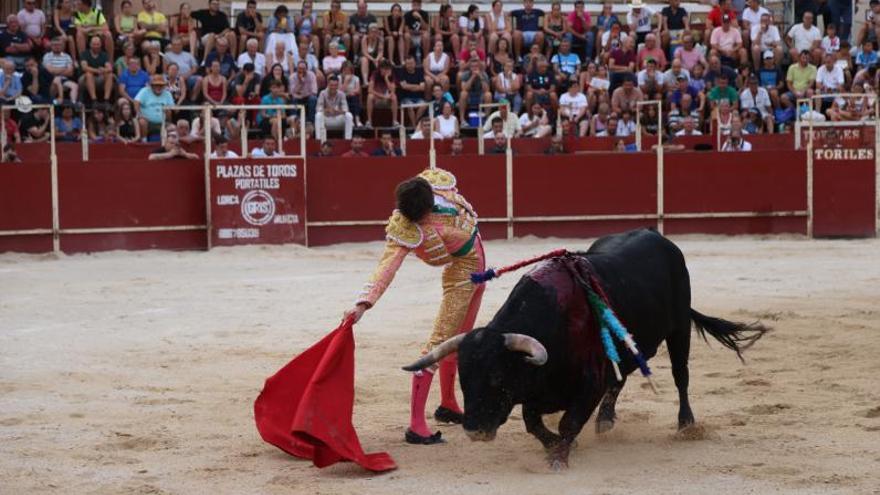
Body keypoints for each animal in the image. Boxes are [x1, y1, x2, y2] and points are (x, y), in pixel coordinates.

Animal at [402, 229, 768, 468]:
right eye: (463, 380)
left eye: (496, 378)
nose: (474, 430)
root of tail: (660, 237)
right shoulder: (537, 389)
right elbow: (533, 423)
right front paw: (556, 445)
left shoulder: (588, 382)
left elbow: (568, 421)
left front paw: (560, 455)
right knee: (621, 379)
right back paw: (606, 420)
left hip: (678, 329)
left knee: (681, 375)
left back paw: (686, 424)